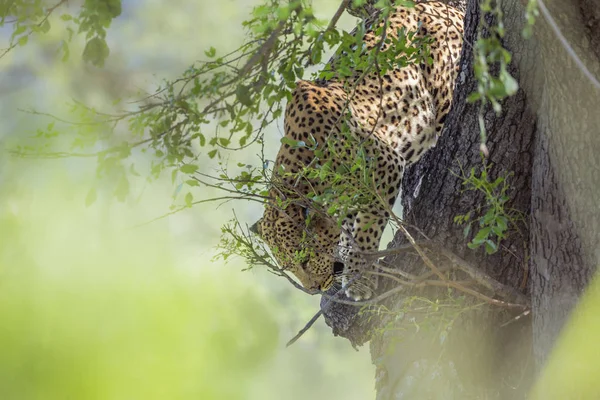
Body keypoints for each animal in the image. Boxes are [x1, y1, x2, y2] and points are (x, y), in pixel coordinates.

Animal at [251, 0, 466, 300]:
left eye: (305, 259)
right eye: (288, 265)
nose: (313, 289)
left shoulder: (384, 165)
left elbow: (365, 229)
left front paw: (359, 279)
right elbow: (348, 227)